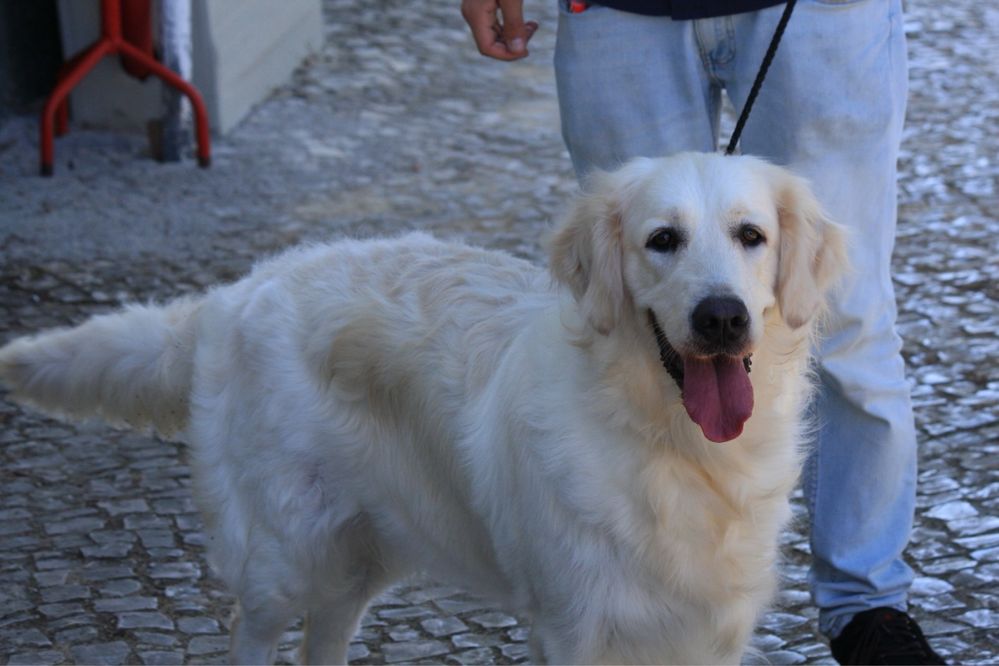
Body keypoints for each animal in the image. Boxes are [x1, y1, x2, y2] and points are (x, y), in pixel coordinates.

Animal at [0, 153, 844, 660]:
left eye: (750, 236)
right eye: (661, 240)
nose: (720, 316)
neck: (676, 448)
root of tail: (235, 294)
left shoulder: (709, 631)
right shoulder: (575, 625)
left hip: (360, 552)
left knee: (323, 639)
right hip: (282, 552)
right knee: (252, 629)